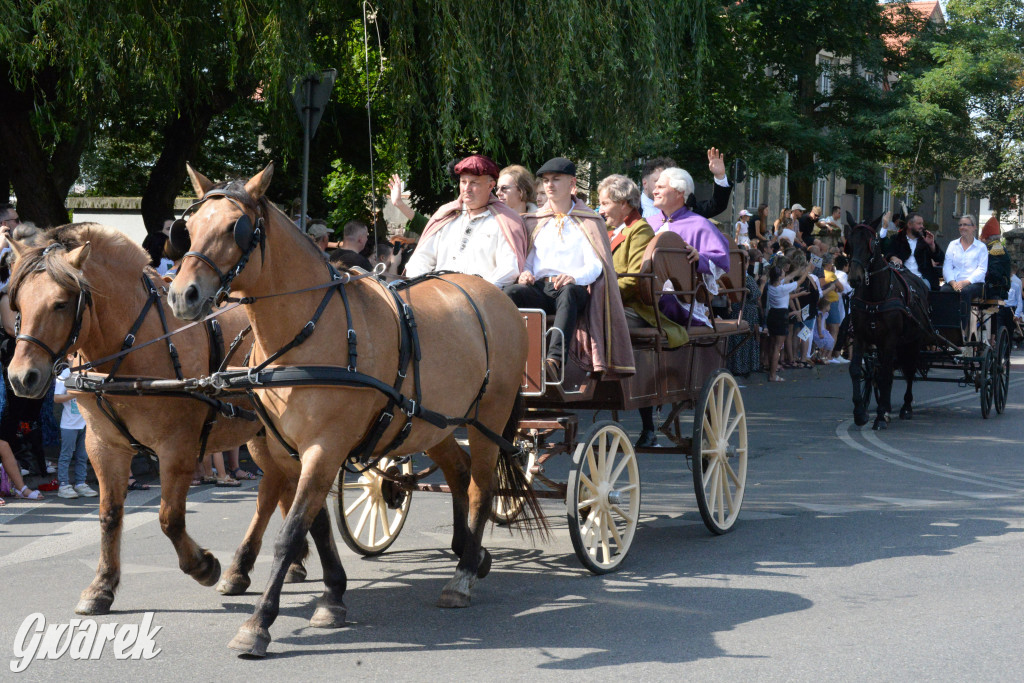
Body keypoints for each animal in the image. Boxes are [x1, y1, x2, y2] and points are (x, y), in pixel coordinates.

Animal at [165, 162, 544, 659]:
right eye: (187, 229)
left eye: (236, 228)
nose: (181, 296)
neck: (308, 330)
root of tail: (492, 294)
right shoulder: (291, 451)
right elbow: (316, 523)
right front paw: (332, 597)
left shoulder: (324, 448)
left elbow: (291, 532)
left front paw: (259, 623)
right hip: (433, 424)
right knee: (459, 473)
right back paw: (470, 553)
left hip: (489, 419)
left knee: (482, 487)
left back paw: (461, 577)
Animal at [843, 223, 933, 428]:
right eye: (849, 243)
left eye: (872, 243)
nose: (854, 279)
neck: (874, 297)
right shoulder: (860, 336)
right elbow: (856, 370)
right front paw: (860, 413)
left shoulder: (890, 338)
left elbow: (886, 374)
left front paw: (879, 418)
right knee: (889, 370)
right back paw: (886, 406)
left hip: (913, 342)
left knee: (909, 370)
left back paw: (905, 407)